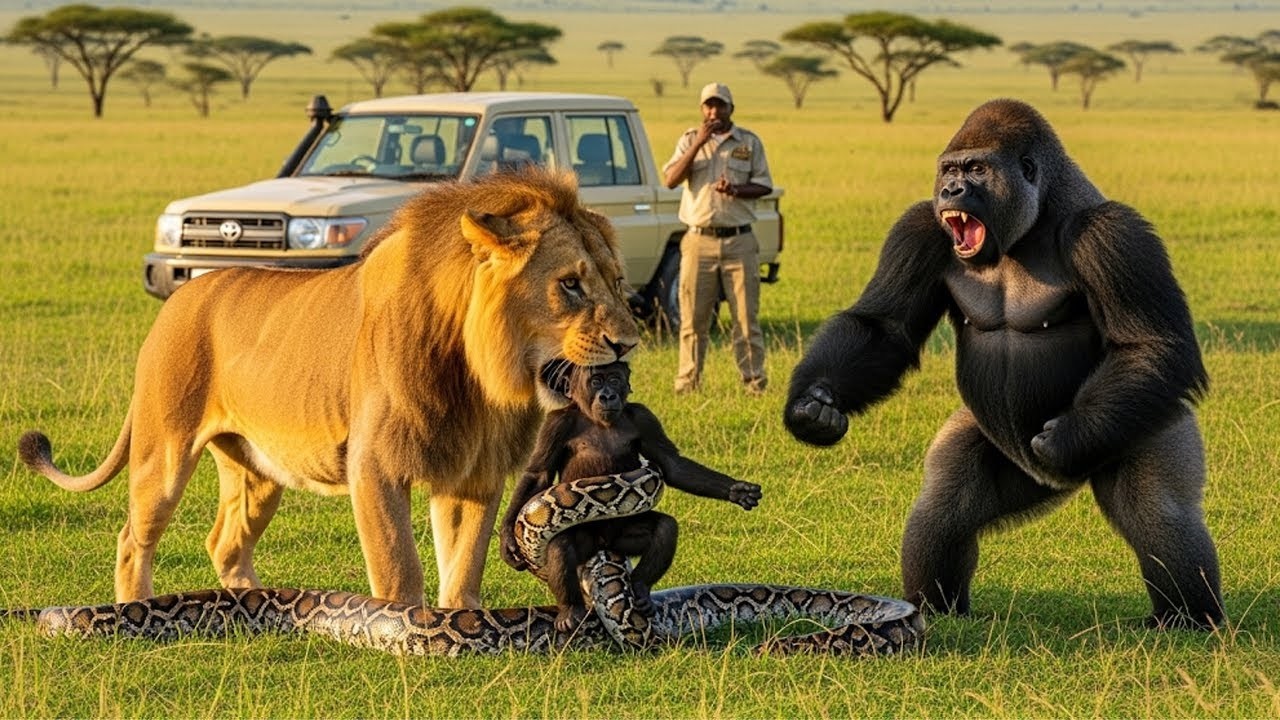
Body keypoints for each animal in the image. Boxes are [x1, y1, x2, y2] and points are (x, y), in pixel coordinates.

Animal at [18, 166, 641, 609]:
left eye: (617, 282)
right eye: (570, 285)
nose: (629, 343)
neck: (479, 375)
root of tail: (179, 298)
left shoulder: (474, 472)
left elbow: (464, 567)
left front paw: (461, 622)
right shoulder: (376, 465)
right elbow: (399, 568)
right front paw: (401, 632)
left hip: (256, 470)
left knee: (224, 542)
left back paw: (257, 606)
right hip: (164, 452)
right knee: (133, 539)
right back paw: (135, 611)